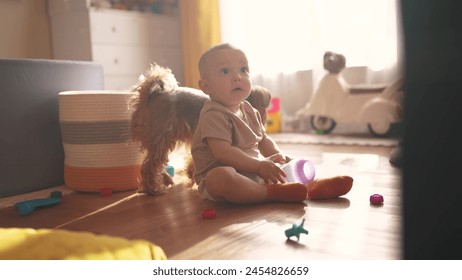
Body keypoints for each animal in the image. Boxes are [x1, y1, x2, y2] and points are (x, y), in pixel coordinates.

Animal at [129, 63, 270, 195]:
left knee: (154, 163)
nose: (263, 121)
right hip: (160, 139)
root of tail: (154, 94)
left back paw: (165, 179)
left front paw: (191, 173)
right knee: (149, 166)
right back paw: (154, 188)